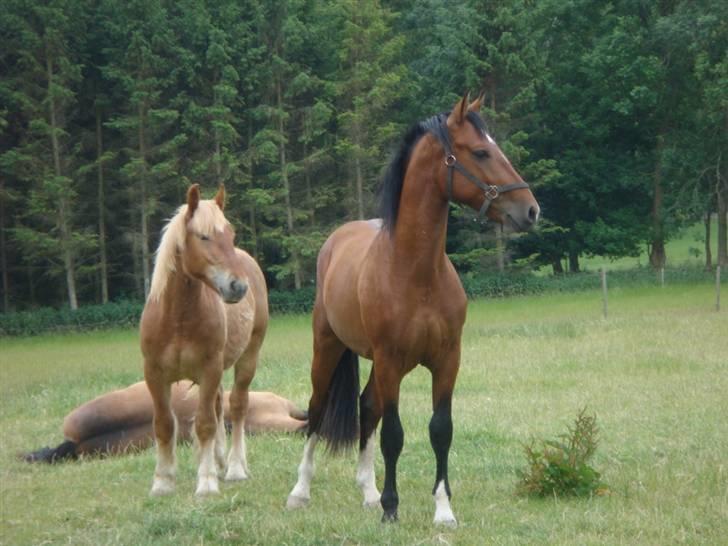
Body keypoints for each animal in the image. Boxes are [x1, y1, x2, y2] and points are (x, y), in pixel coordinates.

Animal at [141, 185, 268, 496]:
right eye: (204, 237)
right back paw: (221, 460)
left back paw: (234, 467)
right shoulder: (154, 374)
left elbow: (205, 423)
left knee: (237, 406)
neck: (177, 320)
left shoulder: (209, 369)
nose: (238, 287)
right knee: (220, 406)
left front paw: (207, 481)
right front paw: (163, 481)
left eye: (231, 235)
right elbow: (164, 424)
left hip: (248, 357)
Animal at [288, 93, 540, 524]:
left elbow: (440, 429)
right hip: (330, 348)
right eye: (481, 151)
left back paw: (368, 491)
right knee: (317, 410)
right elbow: (394, 434)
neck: (416, 273)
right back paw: (301, 491)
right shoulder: (391, 360)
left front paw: (442, 509)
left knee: (366, 407)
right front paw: (391, 508)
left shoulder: (447, 360)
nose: (530, 210)